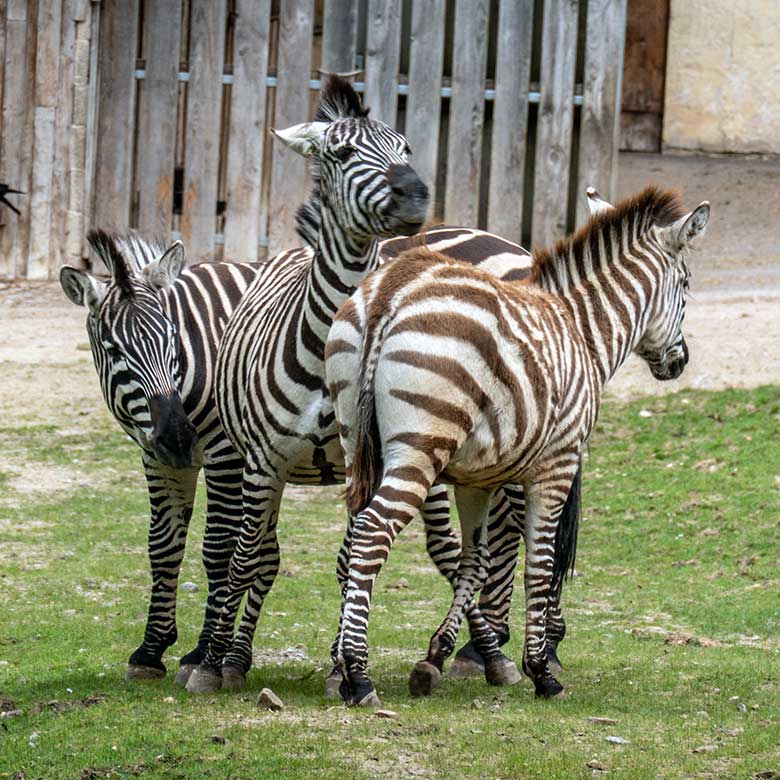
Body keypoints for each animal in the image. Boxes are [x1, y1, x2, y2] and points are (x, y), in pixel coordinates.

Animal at [326, 186, 708, 704]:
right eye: (685, 285)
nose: (679, 362)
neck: (581, 331)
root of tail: (392, 289)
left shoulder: (477, 479)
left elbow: (475, 561)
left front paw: (436, 656)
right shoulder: (557, 462)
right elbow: (540, 563)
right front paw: (541, 670)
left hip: (355, 443)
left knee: (351, 544)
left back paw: (344, 669)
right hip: (420, 449)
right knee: (371, 533)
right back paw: (359, 673)